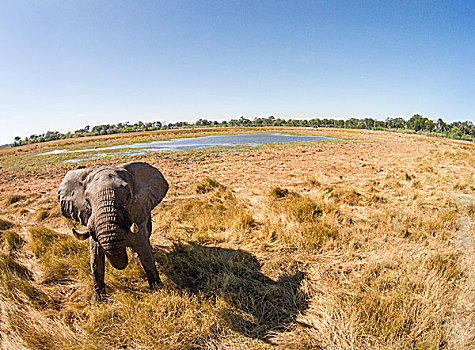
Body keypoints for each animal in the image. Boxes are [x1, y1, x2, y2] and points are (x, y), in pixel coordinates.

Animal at [58, 161, 169, 300]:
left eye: (128, 196)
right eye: (87, 200)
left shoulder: (138, 212)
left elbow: (145, 253)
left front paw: (158, 290)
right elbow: (95, 259)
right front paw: (97, 300)